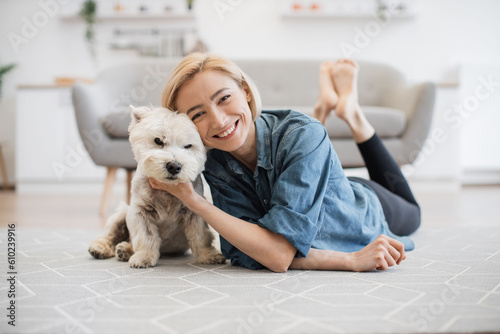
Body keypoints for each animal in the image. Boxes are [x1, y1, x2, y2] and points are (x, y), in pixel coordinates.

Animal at [88, 105, 225, 268]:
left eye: (188, 146)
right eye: (158, 140)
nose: (174, 166)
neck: (167, 191)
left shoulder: (195, 211)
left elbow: (200, 236)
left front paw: (209, 255)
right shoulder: (140, 211)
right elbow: (146, 237)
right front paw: (143, 258)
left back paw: (124, 250)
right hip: (122, 213)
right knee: (110, 235)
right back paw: (102, 248)